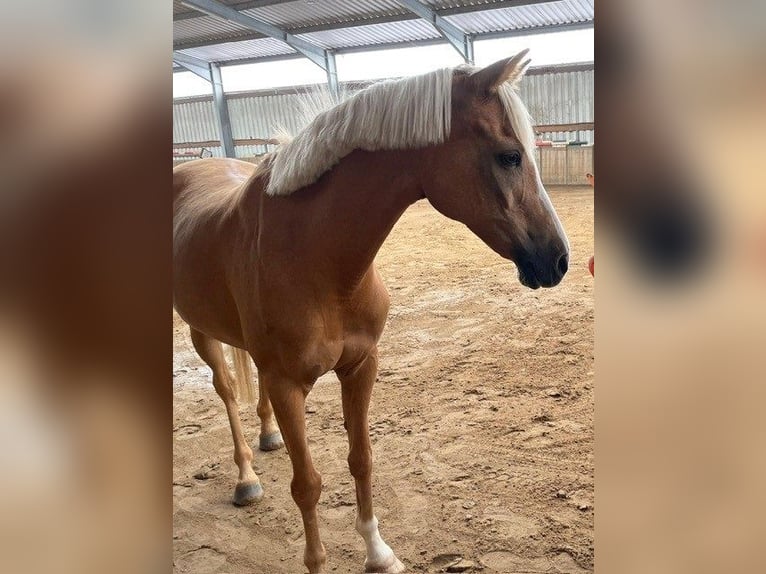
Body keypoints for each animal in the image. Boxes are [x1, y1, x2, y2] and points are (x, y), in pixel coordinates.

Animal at [174, 51, 568, 572]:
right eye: (510, 155)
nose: (559, 260)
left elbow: (361, 459)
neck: (315, 259)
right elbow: (308, 486)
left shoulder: (361, 366)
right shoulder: (287, 385)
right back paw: (246, 478)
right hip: (199, 331)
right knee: (225, 390)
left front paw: (378, 553)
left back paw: (268, 438)